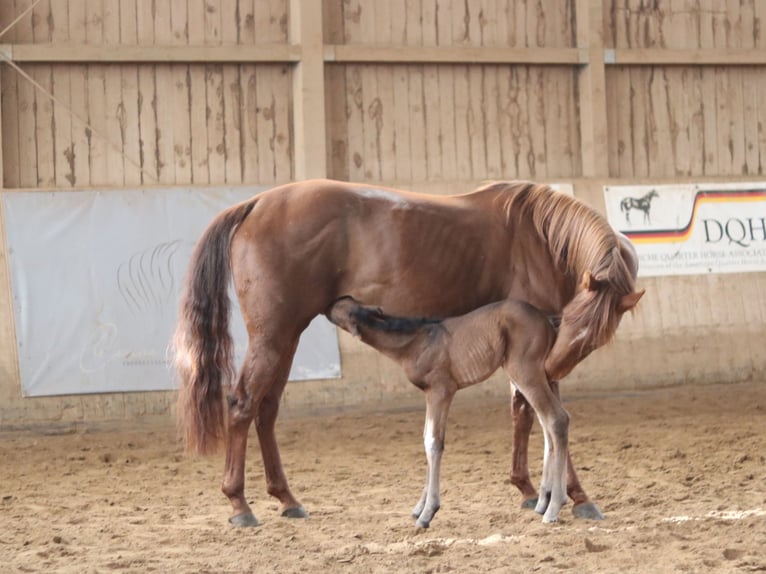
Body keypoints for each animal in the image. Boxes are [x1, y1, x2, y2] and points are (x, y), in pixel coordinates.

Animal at [328, 300, 568, 528]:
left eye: (342, 307)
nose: (329, 308)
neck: (415, 342)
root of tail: (547, 322)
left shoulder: (440, 390)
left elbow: (433, 442)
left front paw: (427, 513)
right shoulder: (430, 393)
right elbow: (426, 439)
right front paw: (419, 508)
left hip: (525, 372)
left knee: (557, 419)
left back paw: (553, 508)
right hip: (545, 377)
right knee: (549, 427)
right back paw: (545, 501)